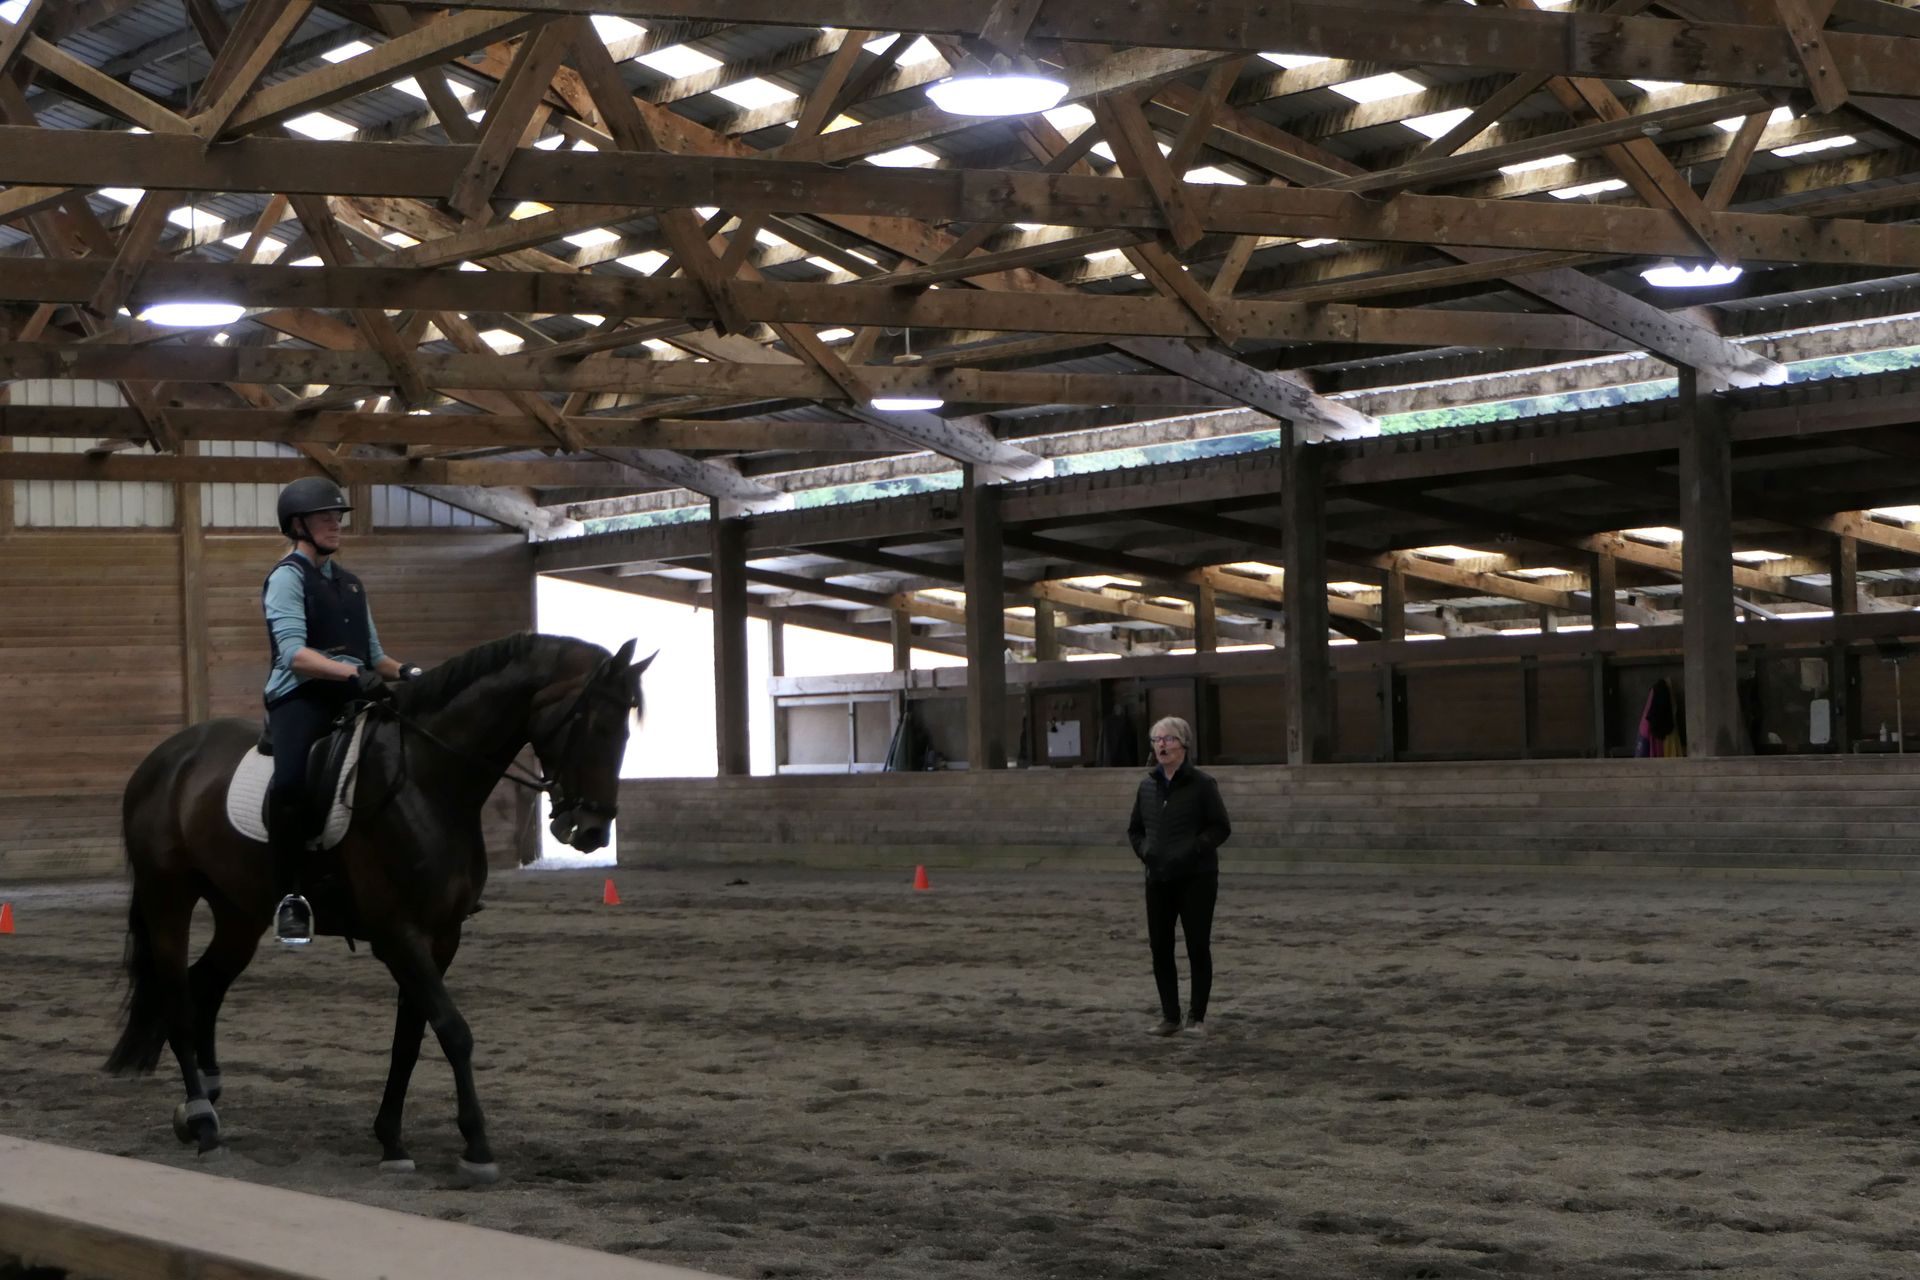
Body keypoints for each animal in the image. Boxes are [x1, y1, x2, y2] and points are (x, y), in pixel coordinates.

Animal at [105, 633, 651, 1182]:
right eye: (595, 725)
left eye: (626, 727)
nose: (591, 831)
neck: (428, 781)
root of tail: (166, 757)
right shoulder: (398, 934)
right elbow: (453, 1030)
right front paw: (476, 1147)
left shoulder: (441, 936)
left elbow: (409, 1038)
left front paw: (392, 1141)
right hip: (169, 896)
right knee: (178, 997)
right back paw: (204, 1126)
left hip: (239, 912)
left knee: (207, 985)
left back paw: (204, 1103)